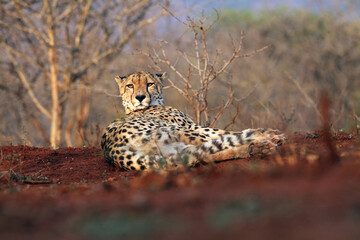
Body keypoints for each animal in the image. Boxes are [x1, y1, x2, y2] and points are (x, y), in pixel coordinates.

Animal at [101, 71, 286, 171]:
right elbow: (231, 132)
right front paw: (271, 134)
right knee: (214, 143)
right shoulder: (192, 126)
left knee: (198, 155)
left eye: (150, 84)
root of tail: (111, 148)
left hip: (172, 148)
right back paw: (263, 143)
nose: (140, 97)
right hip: (178, 131)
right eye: (130, 86)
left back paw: (257, 149)